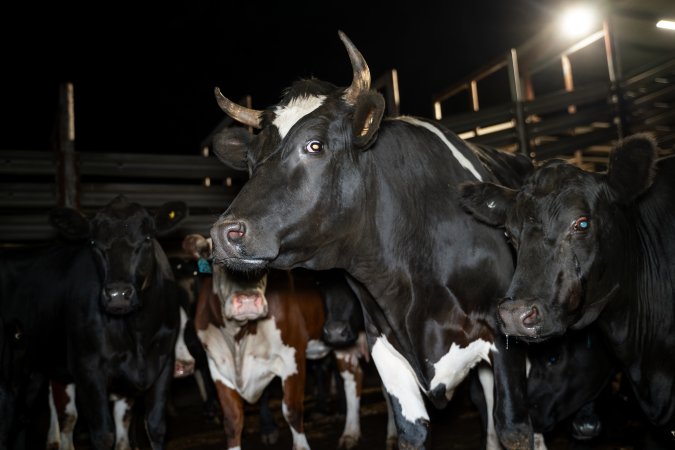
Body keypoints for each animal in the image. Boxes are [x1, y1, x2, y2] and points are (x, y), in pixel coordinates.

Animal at [0, 195, 186, 448]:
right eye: (94, 242)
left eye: (147, 239)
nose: (118, 294)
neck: (136, 332)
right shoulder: (87, 369)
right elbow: (104, 435)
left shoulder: (164, 362)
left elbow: (154, 427)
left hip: (35, 367)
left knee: (22, 418)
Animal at [209, 32, 536, 450]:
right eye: (250, 162)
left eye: (314, 145)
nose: (225, 233)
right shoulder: (386, 346)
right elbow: (413, 431)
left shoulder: (505, 337)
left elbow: (515, 428)